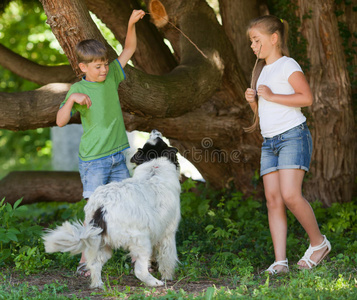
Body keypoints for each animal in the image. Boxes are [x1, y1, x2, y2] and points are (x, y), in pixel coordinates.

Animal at [43, 130, 181, 290]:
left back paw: (98, 285)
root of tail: (102, 208)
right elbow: (167, 258)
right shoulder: (168, 233)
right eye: (160, 141)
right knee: (139, 270)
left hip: (101, 242)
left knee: (95, 264)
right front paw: (168, 277)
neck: (154, 166)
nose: (154, 131)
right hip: (141, 241)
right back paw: (155, 283)